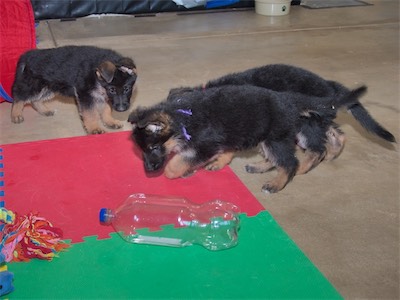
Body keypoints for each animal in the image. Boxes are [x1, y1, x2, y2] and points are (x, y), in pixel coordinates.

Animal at [10, 45, 138, 134]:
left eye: (127, 88)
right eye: (112, 90)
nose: (121, 109)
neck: (96, 74)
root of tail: (27, 55)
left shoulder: (102, 96)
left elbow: (105, 109)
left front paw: (110, 121)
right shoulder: (85, 95)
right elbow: (91, 113)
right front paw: (94, 128)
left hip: (48, 87)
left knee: (35, 100)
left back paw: (45, 111)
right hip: (34, 85)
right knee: (19, 96)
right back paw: (16, 114)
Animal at [167, 63, 396, 166]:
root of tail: (330, 86)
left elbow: (227, 149)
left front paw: (219, 161)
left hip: (308, 124)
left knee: (321, 143)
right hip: (318, 119)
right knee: (338, 134)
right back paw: (332, 154)